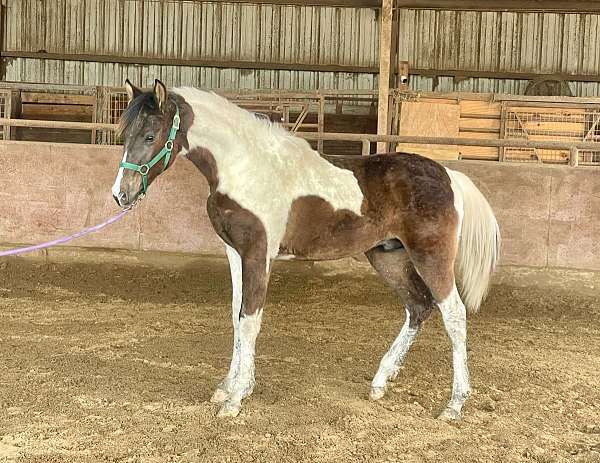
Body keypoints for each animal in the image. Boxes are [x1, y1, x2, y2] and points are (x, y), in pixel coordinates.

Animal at [110, 81, 500, 422]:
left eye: (150, 136)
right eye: (125, 136)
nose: (121, 194)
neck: (246, 167)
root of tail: (448, 175)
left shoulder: (258, 254)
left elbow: (250, 320)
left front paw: (236, 398)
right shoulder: (234, 253)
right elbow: (236, 316)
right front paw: (228, 386)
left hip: (431, 257)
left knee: (454, 315)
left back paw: (454, 405)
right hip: (387, 256)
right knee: (418, 306)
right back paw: (379, 382)